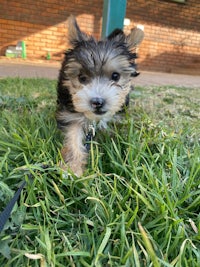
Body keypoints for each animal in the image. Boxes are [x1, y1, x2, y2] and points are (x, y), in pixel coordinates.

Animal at [56, 15, 144, 177]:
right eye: (82, 78)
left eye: (115, 76)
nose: (97, 102)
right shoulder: (71, 114)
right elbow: (73, 137)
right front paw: (73, 167)